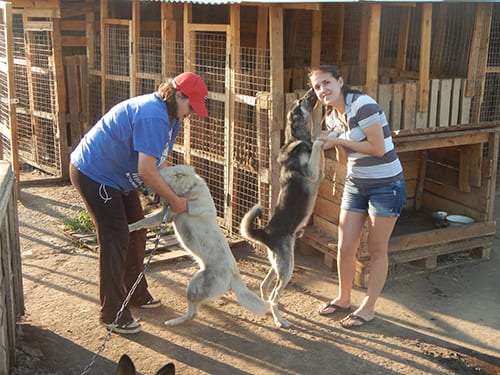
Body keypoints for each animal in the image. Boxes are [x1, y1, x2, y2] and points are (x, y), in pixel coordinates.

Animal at [129, 164, 270, 326]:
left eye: (156, 178)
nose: (143, 191)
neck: (188, 189)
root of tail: (234, 275)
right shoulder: (165, 213)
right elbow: (144, 220)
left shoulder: (172, 213)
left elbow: (145, 220)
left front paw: (129, 226)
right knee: (193, 313)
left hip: (193, 288)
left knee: (192, 313)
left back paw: (174, 321)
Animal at [241, 89, 326, 328]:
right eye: (302, 100)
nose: (312, 89)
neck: (297, 138)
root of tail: (265, 233)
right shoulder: (314, 174)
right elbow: (317, 144)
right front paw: (324, 135)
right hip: (287, 268)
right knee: (273, 295)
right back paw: (280, 320)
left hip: (281, 264)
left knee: (264, 286)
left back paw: (269, 310)